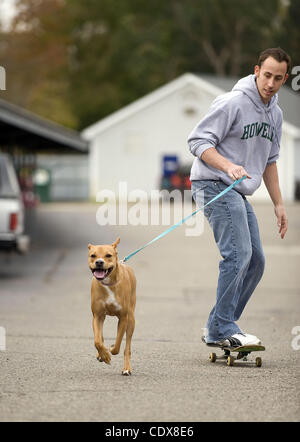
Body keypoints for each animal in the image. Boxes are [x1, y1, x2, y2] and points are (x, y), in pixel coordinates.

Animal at [87, 240, 137, 374]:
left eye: (108, 255)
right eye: (93, 255)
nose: (99, 262)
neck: (108, 283)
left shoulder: (123, 318)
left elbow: (118, 345)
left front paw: (110, 350)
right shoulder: (97, 316)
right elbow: (97, 341)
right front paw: (103, 355)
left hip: (131, 319)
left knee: (127, 347)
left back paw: (126, 368)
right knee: (100, 337)